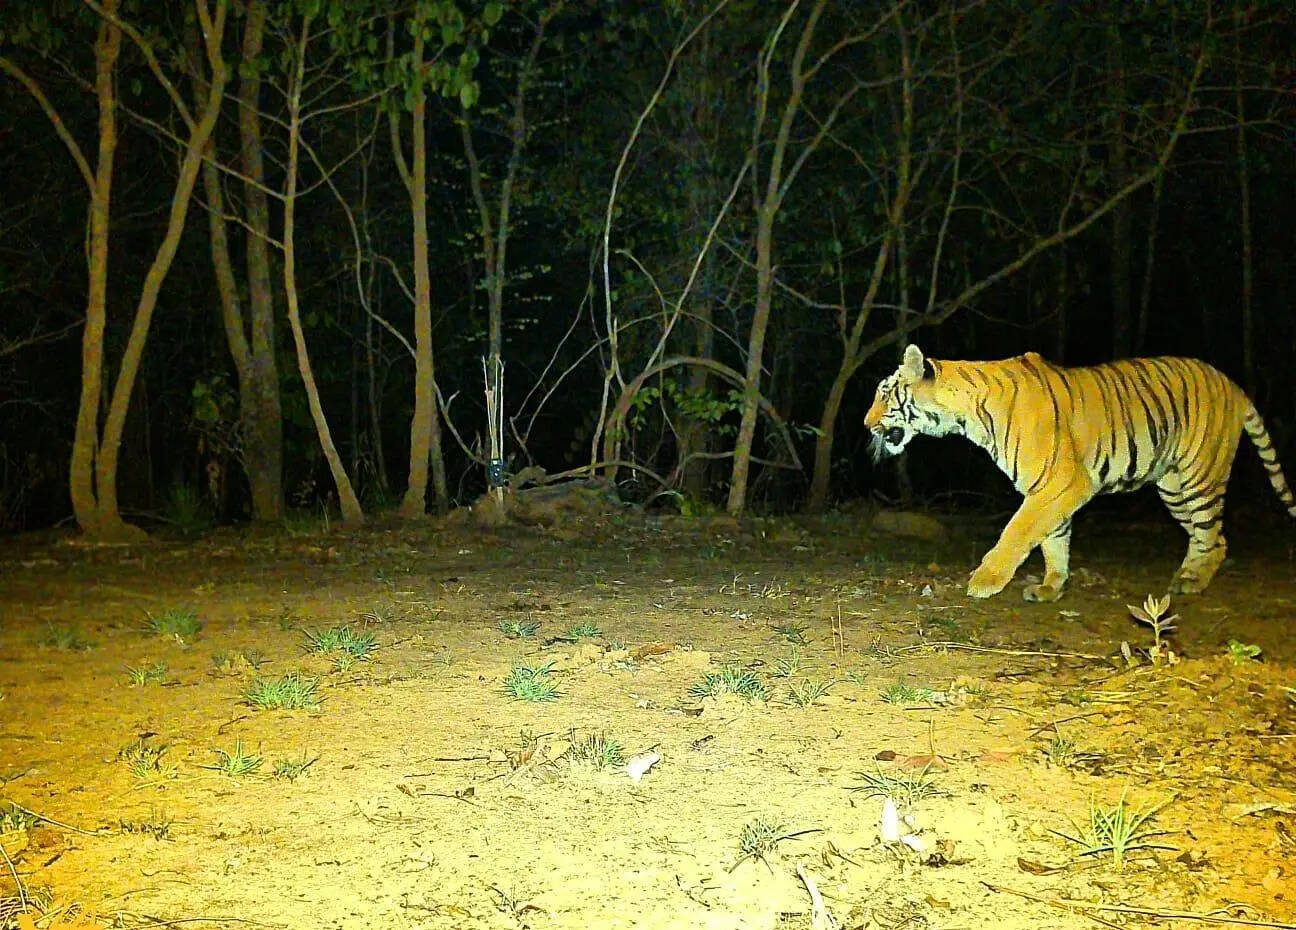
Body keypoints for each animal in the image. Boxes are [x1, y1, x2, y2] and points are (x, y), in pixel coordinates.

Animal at [864, 345, 1296, 602]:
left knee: (1213, 536)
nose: (866, 424)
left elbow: (1018, 531)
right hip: (1173, 486)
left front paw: (985, 580)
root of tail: (1233, 384)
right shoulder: (1050, 487)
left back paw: (1193, 582)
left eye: (884, 394)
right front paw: (1051, 586)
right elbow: (1054, 538)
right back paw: (1185, 577)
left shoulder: (1062, 481)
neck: (965, 416)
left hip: (1199, 478)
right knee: (1208, 537)